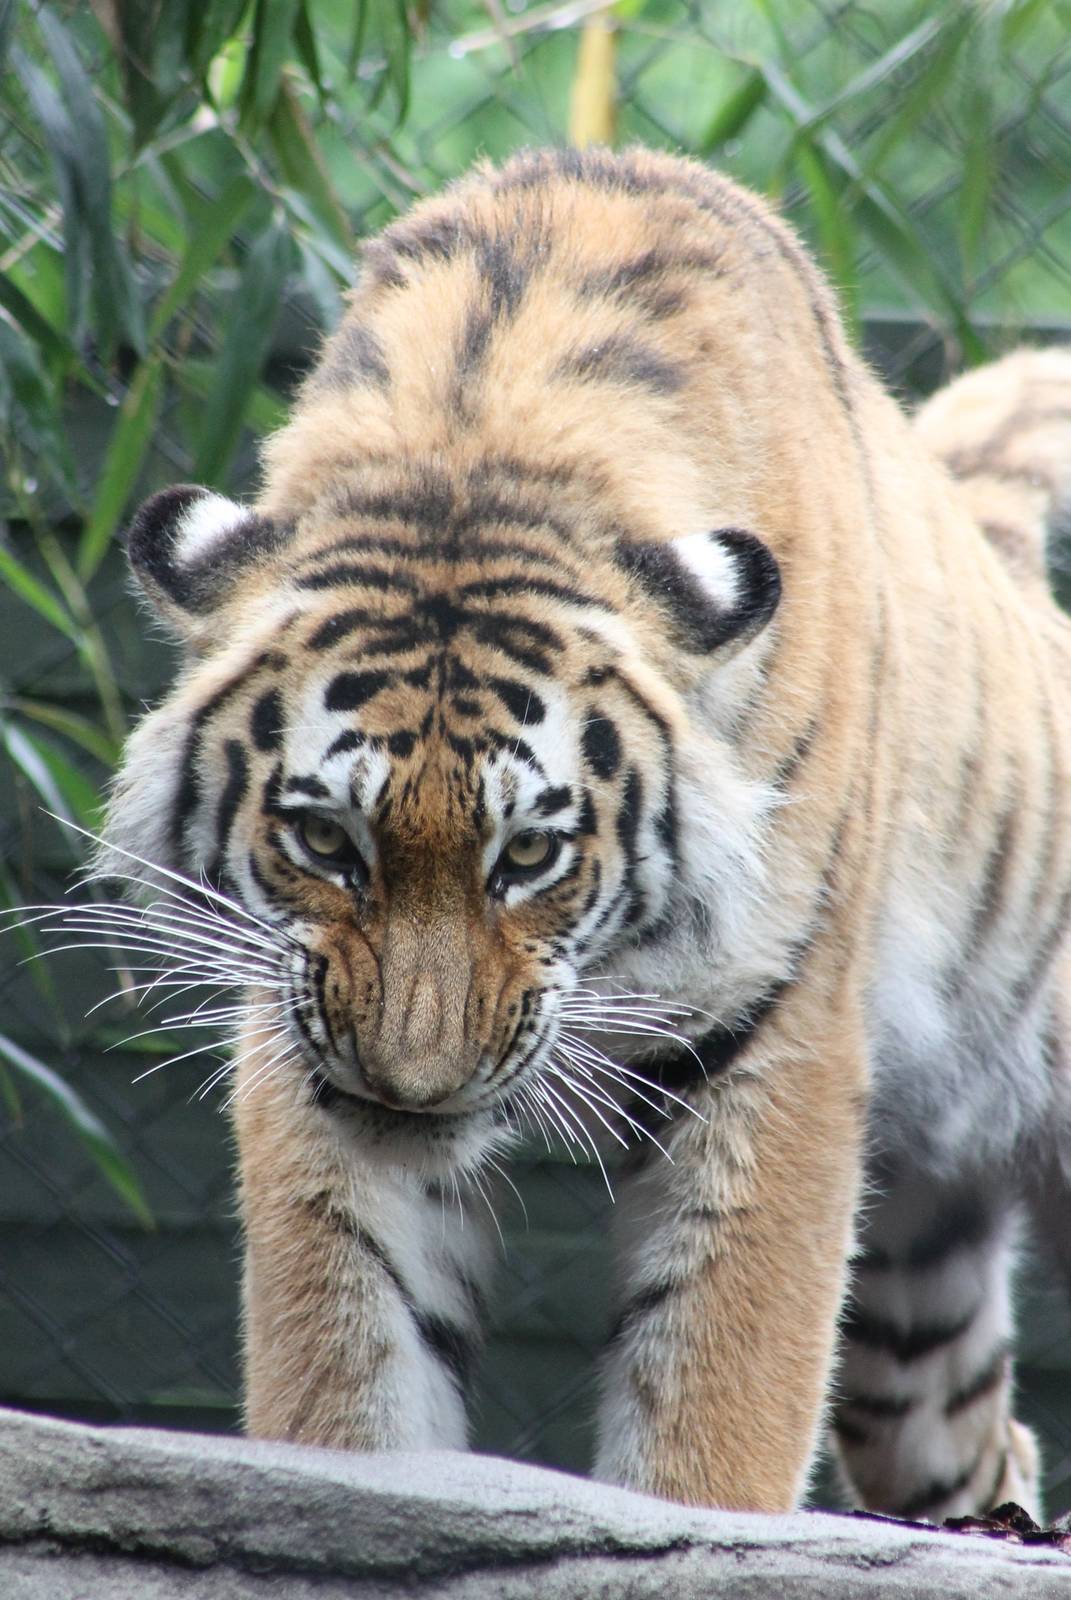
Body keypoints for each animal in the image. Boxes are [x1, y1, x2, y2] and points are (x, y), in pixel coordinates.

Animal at [92, 146, 1071, 1519]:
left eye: (530, 856)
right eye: (328, 842)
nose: (416, 1086)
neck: (474, 438)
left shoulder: (782, 1037)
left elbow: (715, 1409)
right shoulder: (308, 1051)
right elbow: (350, 1370)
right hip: (916, 1290)